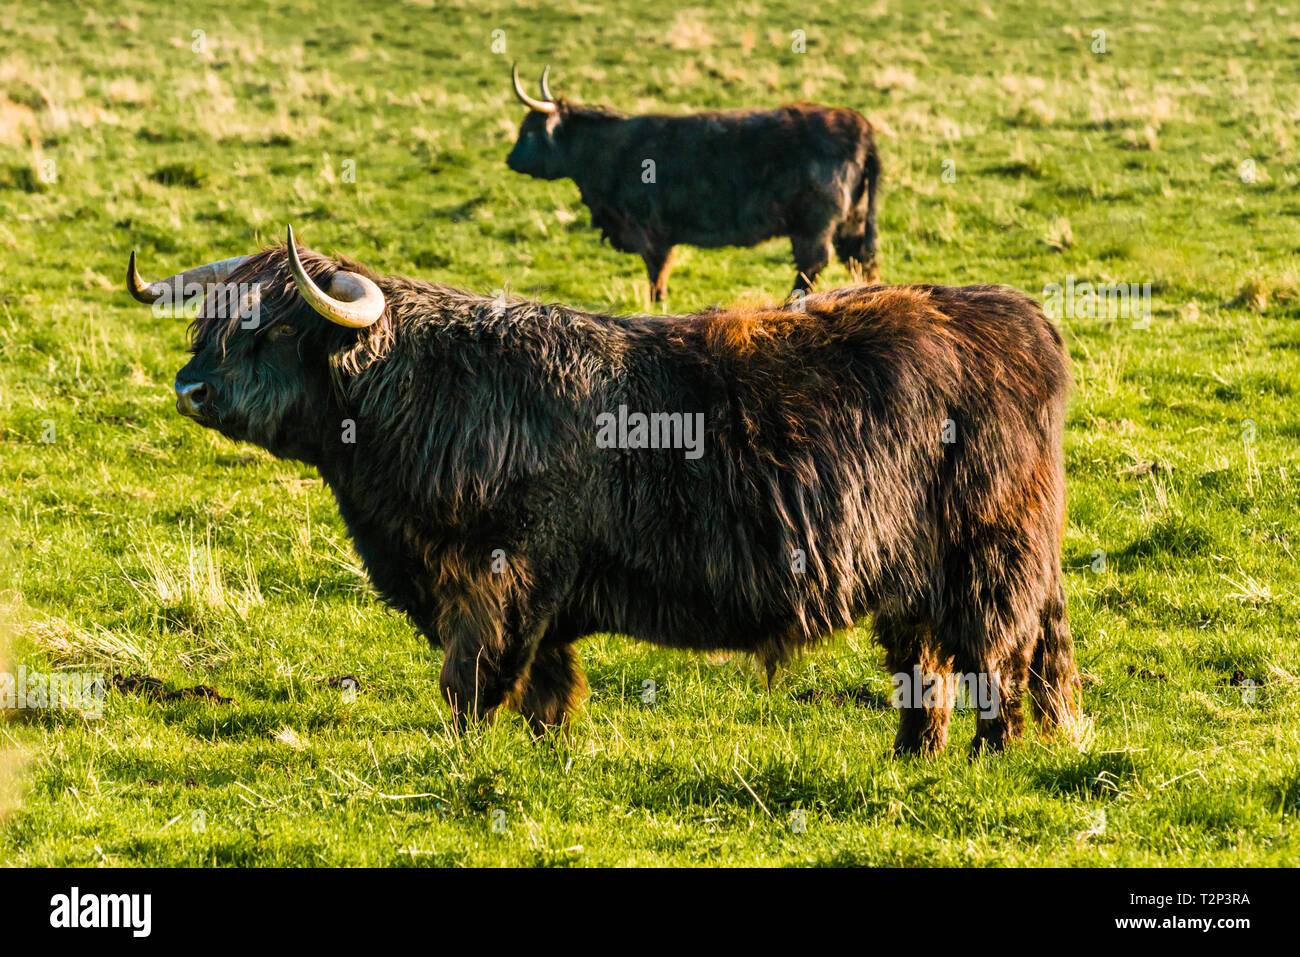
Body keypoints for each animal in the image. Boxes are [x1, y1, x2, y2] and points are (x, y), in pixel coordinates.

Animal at [125, 229, 1079, 755]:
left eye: (278, 328)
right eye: (211, 319)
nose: (189, 389)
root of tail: (1014, 312)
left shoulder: (499, 574)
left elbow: (472, 677)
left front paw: (467, 750)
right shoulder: (528, 593)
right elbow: (546, 681)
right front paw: (546, 748)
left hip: (989, 557)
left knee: (994, 658)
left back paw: (987, 756)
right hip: (915, 578)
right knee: (930, 667)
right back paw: (913, 755)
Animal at [505, 65, 882, 304]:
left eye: (529, 131)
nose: (510, 159)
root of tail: (861, 125)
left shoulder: (650, 231)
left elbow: (657, 273)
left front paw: (657, 303)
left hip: (815, 226)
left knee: (812, 265)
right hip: (851, 220)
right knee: (861, 260)